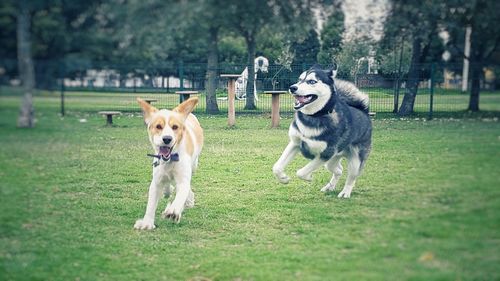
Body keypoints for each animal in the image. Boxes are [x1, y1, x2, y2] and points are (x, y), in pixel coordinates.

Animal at [135, 97, 203, 229]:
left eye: (175, 127)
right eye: (158, 126)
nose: (167, 139)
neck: (171, 159)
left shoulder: (183, 179)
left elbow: (181, 194)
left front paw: (173, 211)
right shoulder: (156, 180)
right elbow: (151, 204)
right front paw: (147, 223)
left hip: (193, 165)